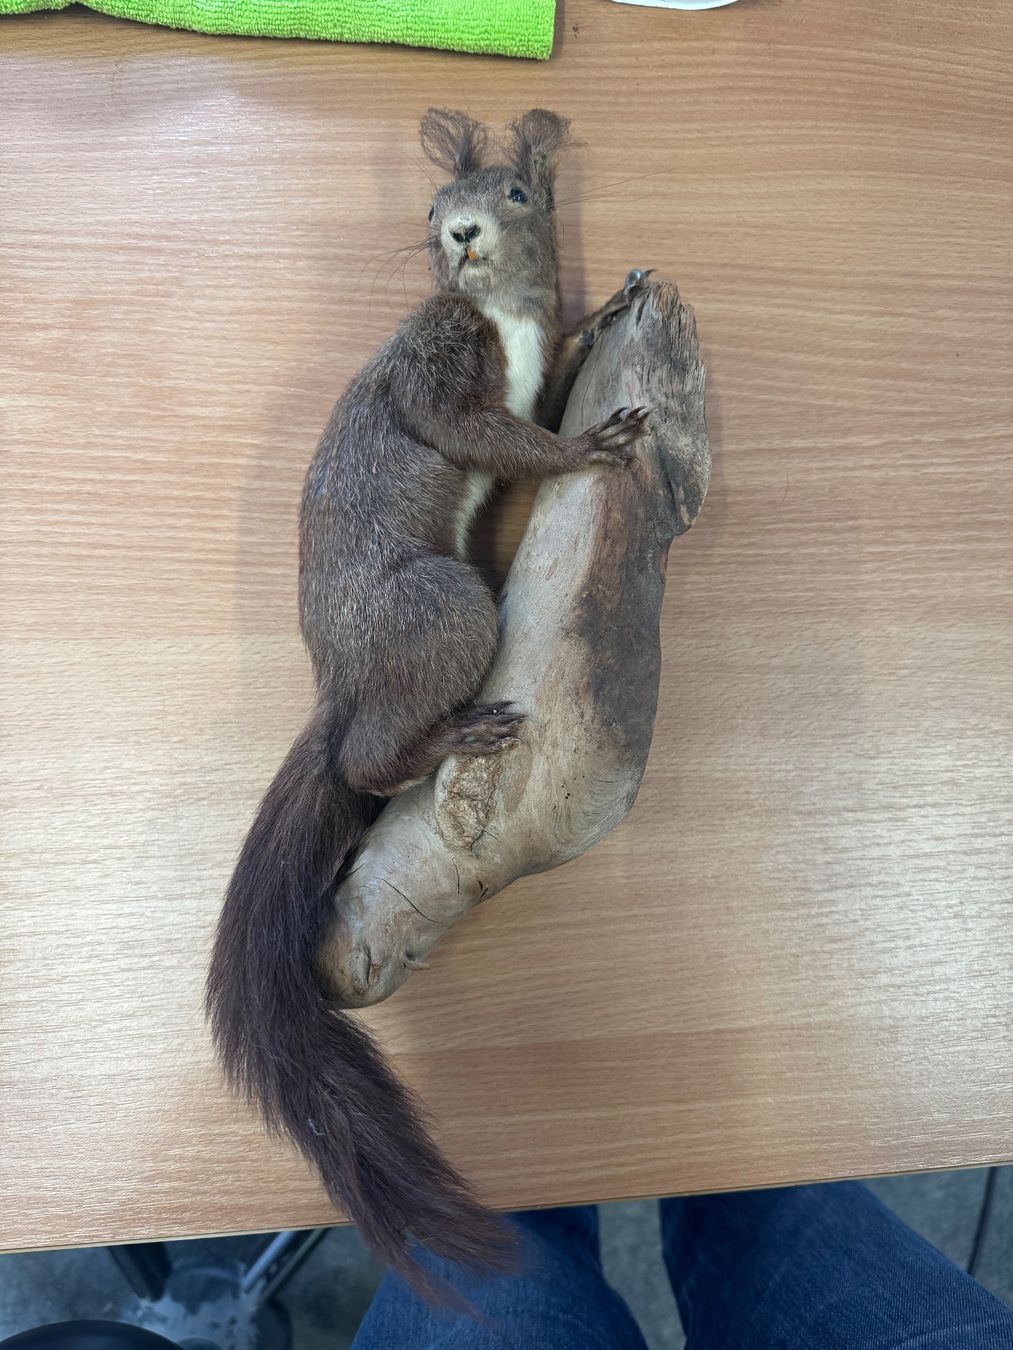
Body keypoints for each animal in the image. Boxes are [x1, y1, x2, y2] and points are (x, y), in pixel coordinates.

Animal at [205, 107, 649, 1292]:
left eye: (519, 193)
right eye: (436, 201)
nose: (457, 234)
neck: (500, 311)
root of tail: (344, 679)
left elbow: (546, 387)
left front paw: (597, 323)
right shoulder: (435, 363)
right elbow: (486, 432)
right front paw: (587, 444)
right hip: (438, 606)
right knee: (363, 760)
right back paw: (449, 732)